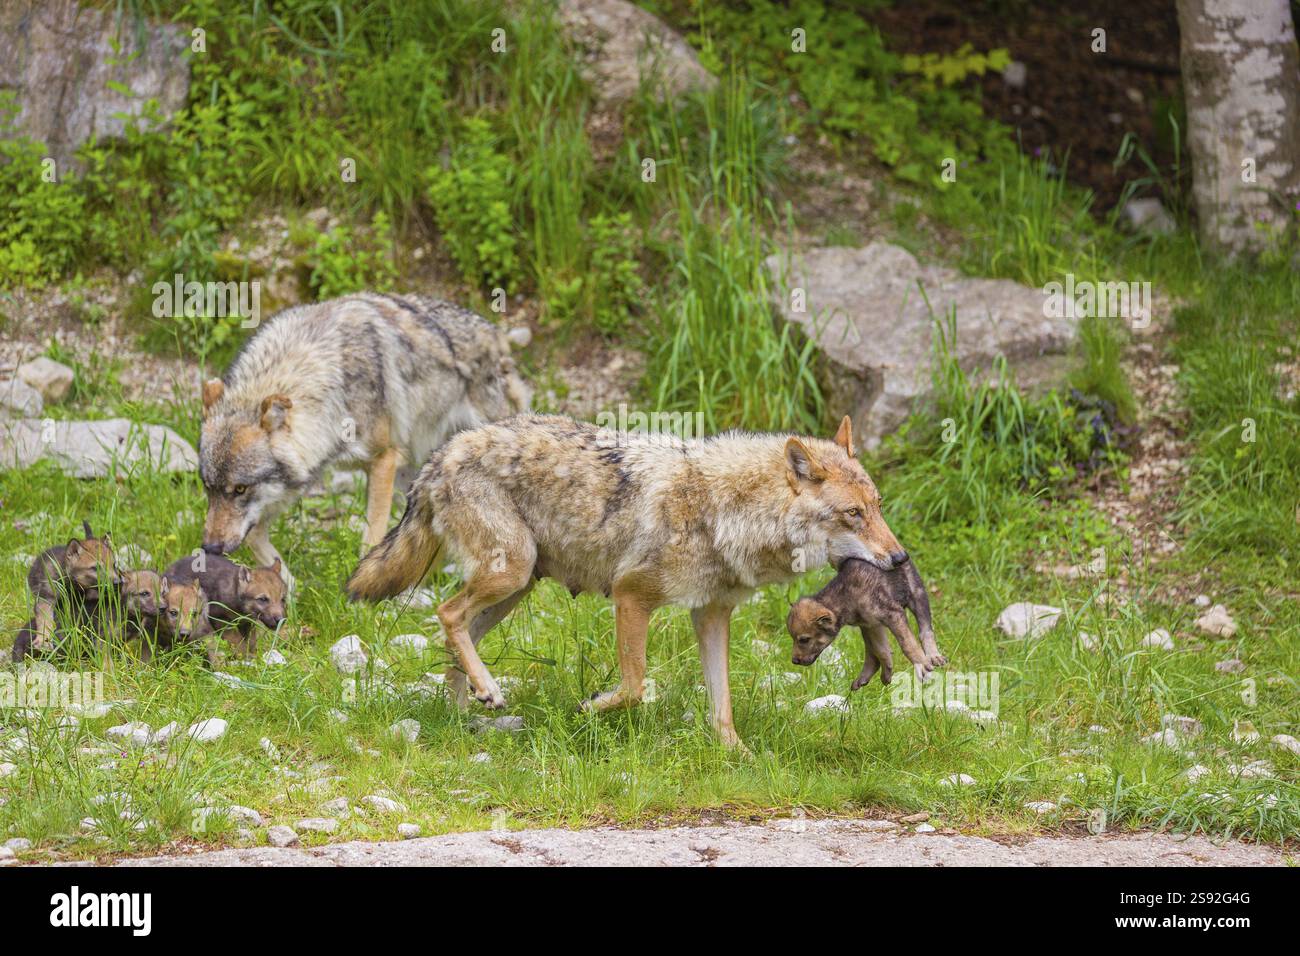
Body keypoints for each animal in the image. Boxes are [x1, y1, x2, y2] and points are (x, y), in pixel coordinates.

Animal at [198, 293, 530, 587]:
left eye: (240, 489)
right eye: (208, 488)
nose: (210, 549)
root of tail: (496, 334)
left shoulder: (383, 459)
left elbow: (370, 538)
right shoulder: (303, 476)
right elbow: (255, 536)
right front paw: (291, 591)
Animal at [346, 413, 908, 750]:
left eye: (879, 507)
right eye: (853, 514)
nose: (901, 558)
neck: (726, 511)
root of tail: (442, 454)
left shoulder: (711, 615)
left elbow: (722, 706)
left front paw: (739, 757)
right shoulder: (631, 597)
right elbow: (635, 686)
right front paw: (588, 707)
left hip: (515, 587)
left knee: (454, 637)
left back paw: (467, 717)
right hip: (511, 572)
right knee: (445, 614)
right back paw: (486, 694)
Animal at [786, 557, 946, 689]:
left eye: (804, 640)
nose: (794, 661)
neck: (845, 597)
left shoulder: (893, 614)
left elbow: (908, 644)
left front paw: (922, 666)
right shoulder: (870, 625)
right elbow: (881, 650)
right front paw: (887, 673)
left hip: (917, 594)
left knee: (926, 631)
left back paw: (934, 656)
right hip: (870, 627)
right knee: (872, 654)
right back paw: (865, 677)